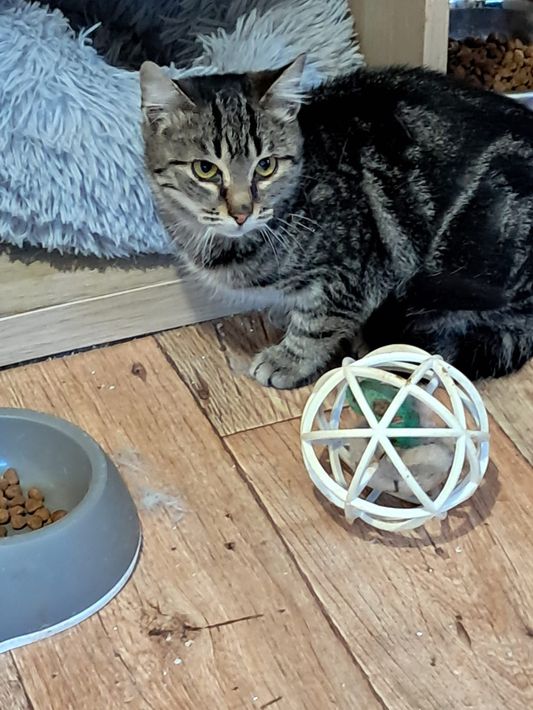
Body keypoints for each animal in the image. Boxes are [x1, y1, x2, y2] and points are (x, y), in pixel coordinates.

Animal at [140, 57, 533, 389]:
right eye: (205, 169)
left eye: (265, 166)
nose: (241, 211)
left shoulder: (354, 272)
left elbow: (317, 322)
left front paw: (287, 360)